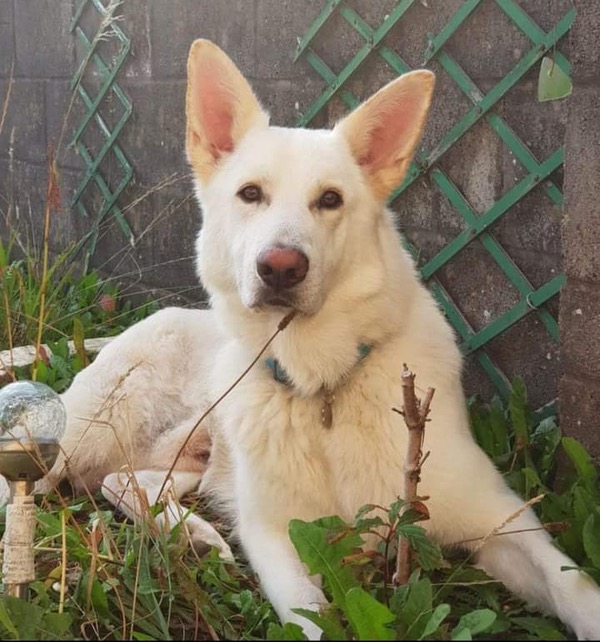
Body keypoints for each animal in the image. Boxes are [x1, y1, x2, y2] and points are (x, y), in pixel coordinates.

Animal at [28, 40, 600, 636]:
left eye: (330, 199)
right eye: (250, 194)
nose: (280, 268)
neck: (324, 382)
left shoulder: (498, 516)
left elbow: (571, 584)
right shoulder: (276, 538)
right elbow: (311, 617)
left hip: (186, 455)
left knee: (125, 480)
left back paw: (195, 536)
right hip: (84, 435)